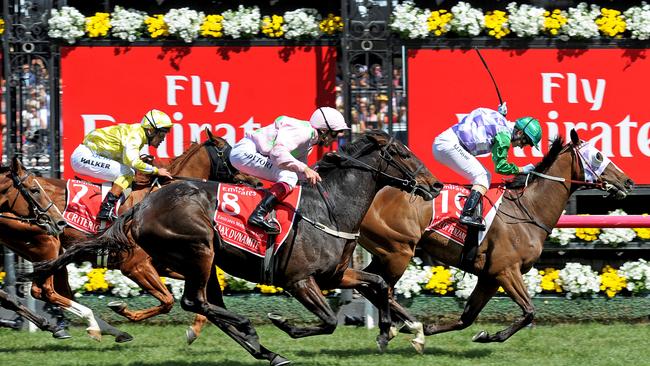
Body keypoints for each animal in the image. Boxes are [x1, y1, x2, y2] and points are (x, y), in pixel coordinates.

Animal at [2, 130, 260, 342]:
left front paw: (196, 328)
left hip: (56, 254)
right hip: (47, 244)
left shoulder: (167, 264)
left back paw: (100, 328)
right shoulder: (135, 266)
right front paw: (121, 308)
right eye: (230, 154)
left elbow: (197, 295)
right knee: (43, 291)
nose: (257, 181)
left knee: (55, 291)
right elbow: (168, 301)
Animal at [29, 130, 440, 364]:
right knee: (193, 301)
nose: (435, 185)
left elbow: (379, 284)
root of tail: (141, 206)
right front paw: (282, 323)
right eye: (403, 153)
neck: (330, 207)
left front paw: (387, 332)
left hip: (205, 261)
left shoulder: (334, 275)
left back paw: (265, 350)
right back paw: (251, 331)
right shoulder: (299, 280)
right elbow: (328, 320)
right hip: (199, 249)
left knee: (205, 305)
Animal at [354, 129, 632, 348]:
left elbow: (467, 318)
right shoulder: (506, 270)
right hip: (399, 251)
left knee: (369, 283)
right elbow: (529, 311)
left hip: (388, 251)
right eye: (598, 155)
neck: (527, 209)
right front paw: (489, 335)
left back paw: (403, 325)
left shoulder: (489, 276)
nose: (627, 180)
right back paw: (409, 325)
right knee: (383, 288)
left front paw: (478, 334)